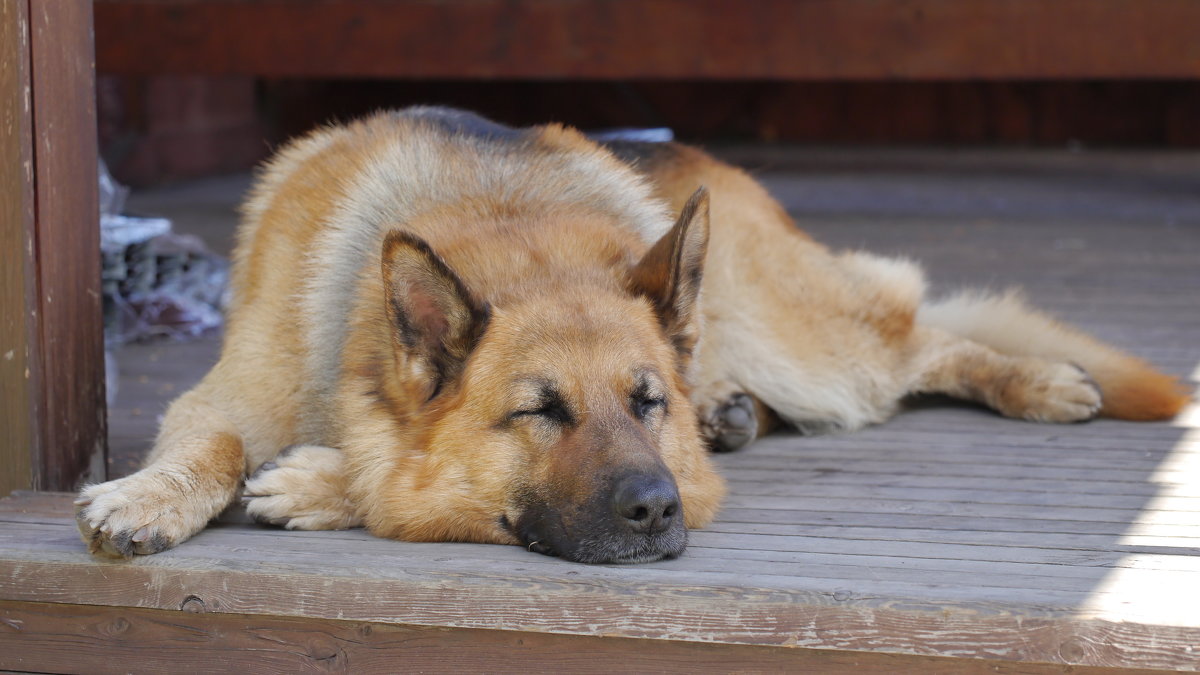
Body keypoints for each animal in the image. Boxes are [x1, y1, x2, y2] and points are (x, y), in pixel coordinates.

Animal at [77, 106, 1190, 562]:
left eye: (646, 401)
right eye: (539, 412)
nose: (657, 509)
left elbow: (382, 479)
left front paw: (320, 483)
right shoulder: (219, 397)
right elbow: (216, 444)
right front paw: (149, 495)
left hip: (803, 342)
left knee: (920, 336)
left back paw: (1043, 382)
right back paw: (738, 413)